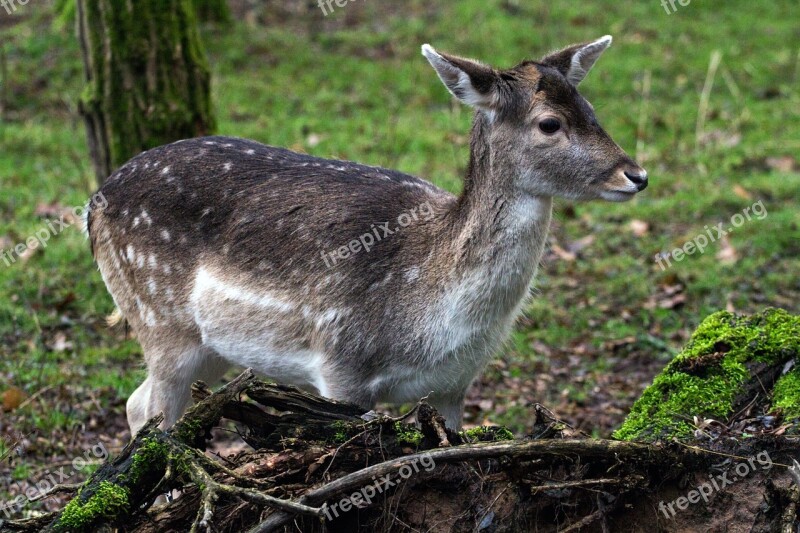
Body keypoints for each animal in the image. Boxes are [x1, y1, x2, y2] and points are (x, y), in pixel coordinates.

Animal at [87, 37, 648, 436]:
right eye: (550, 123)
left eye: (590, 108)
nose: (636, 175)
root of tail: (92, 205)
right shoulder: (341, 364)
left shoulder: (455, 385)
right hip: (158, 316)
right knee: (155, 415)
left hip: (212, 347)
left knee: (137, 404)